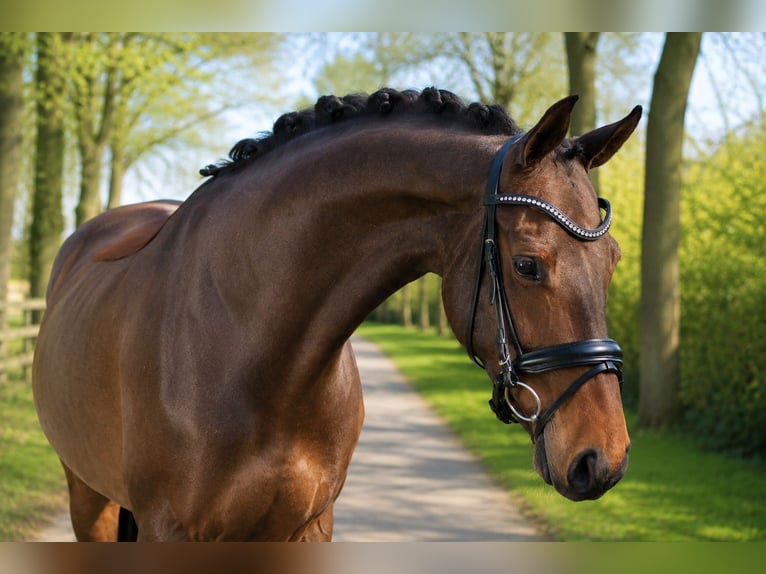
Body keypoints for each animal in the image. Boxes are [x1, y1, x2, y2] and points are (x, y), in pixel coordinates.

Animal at [33, 87, 641, 541]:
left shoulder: (309, 526)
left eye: (613, 260)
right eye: (527, 264)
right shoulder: (171, 531)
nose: (603, 460)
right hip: (87, 494)